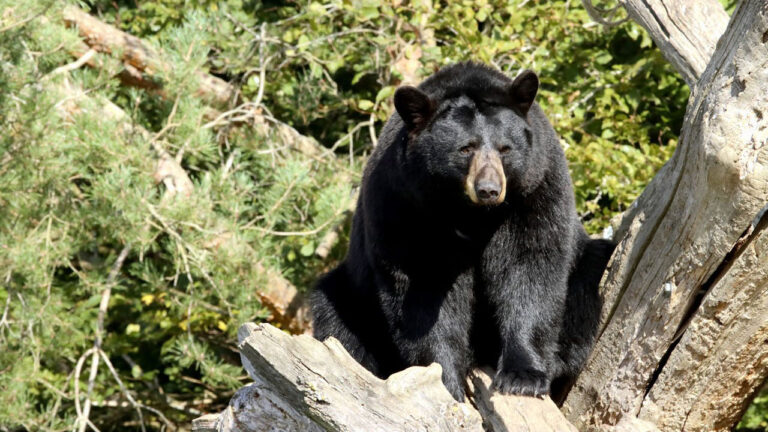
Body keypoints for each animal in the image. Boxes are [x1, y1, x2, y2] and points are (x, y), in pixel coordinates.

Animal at [311, 62, 614, 402]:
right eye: (465, 149)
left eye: (505, 149)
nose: (489, 189)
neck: (469, 213)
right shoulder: (404, 203)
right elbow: (423, 289)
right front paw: (446, 382)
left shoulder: (535, 188)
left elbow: (531, 267)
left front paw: (523, 376)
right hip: (354, 296)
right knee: (337, 320)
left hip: (586, 262)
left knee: (588, 280)